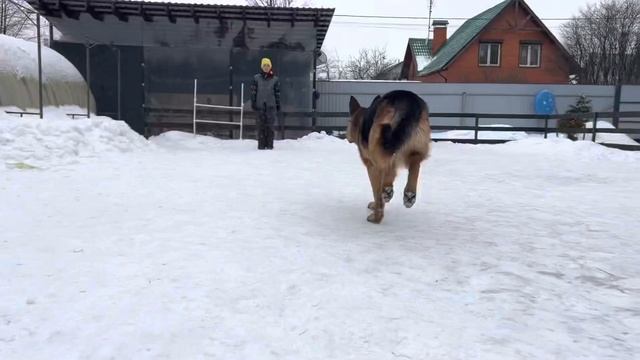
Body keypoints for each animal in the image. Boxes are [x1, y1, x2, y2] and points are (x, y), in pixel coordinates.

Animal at [348, 90, 432, 224]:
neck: (361, 120)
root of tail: (409, 101)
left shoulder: (372, 167)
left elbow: (376, 191)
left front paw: (377, 213)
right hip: (416, 146)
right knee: (415, 164)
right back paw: (409, 194)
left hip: (379, 142)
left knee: (390, 166)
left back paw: (383, 201)